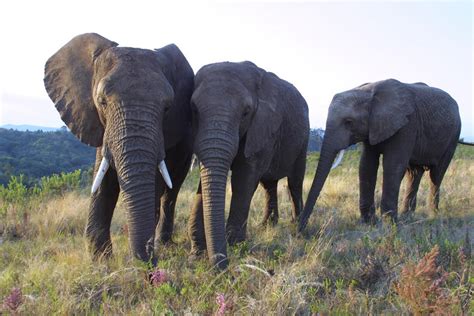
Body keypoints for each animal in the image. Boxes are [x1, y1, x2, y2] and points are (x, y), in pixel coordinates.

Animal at [43, 32, 194, 264]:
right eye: (102, 101)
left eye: (167, 108)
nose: (148, 264)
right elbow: (103, 177)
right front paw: (100, 261)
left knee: (172, 189)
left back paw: (164, 243)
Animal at [189, 60, 312, 268]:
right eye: (194, 109)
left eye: (246, 113)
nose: (220, 268)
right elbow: (204, 182)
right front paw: (196, 254)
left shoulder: (263, 126)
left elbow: (243, 180)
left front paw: (236, 247)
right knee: (269, 184)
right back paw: (267, 225)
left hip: (303, 139)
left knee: (295, 182)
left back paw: (297, 227)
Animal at [298, 79, 462, 232]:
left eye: (349, 122)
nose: (299, 228)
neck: (369, 93)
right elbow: (366, 166)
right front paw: (369, 223)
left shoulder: (407, 124)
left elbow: (393, 166)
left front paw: (389, 225)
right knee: (414, 174)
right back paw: (407, 217)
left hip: (453, 137)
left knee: (436, 174)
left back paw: (432, 215)